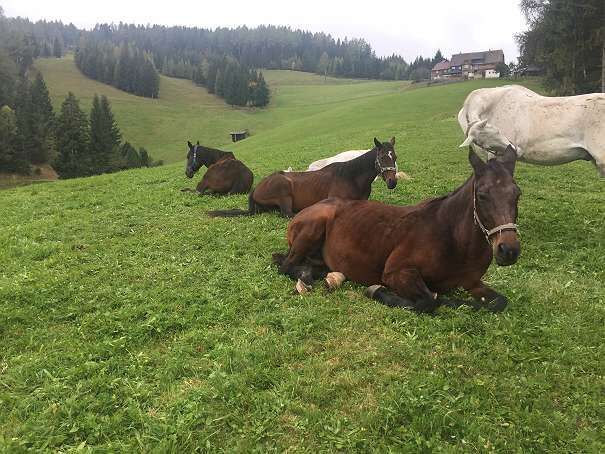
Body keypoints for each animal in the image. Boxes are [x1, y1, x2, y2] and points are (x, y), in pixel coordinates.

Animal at [208, 137, 396, 218]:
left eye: (394, 156)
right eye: (382, 157)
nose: (392, 182)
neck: (350, 177)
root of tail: (256, 188)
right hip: (284, 192)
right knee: (288, 214)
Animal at [272, 147, 520, 314]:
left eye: (518, 193)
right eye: (482, 195)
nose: (508, 250)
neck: (452, 239)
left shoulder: (473, 282)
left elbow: (499, 302)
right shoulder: (395, 272)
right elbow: (429, 301)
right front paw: (379, 291)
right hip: (311, 230)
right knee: (286, 265)